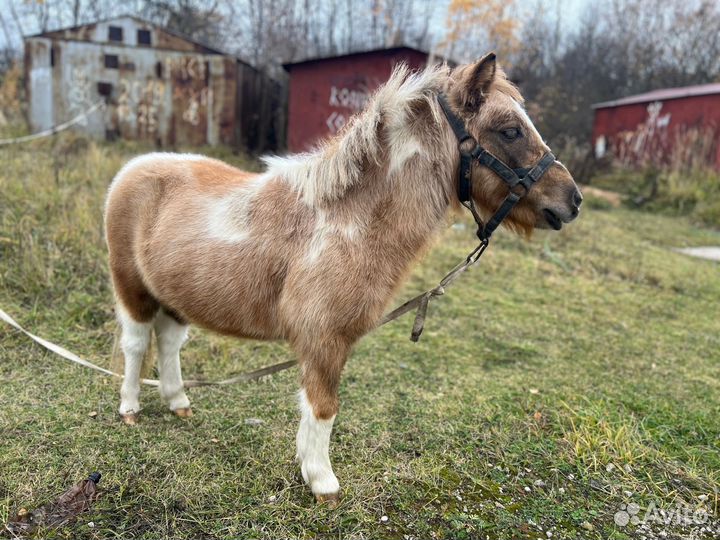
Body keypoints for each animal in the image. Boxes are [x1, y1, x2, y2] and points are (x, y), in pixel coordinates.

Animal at [104, 52, 584, 504]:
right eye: (510, 130)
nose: (573, 200)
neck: (347, 223)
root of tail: (134, 169)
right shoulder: (325, 340)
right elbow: (323, 407)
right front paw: (322, 482)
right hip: (131, 289)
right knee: (136, 344)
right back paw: (129, 408)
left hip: (174, 298)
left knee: (168, 343)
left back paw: (178, 402)